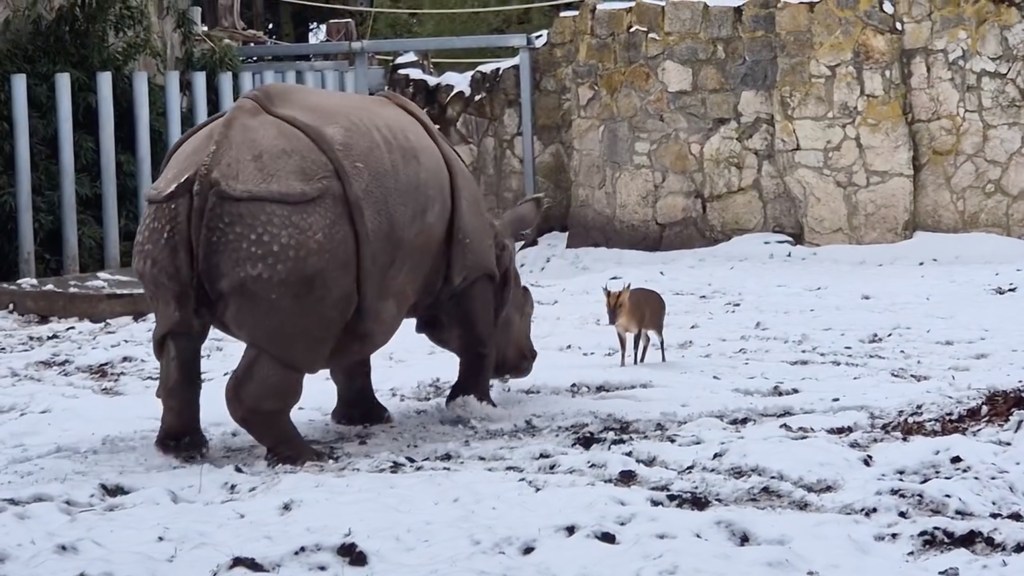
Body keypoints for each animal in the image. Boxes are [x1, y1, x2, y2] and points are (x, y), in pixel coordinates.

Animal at [132, 83, 544, 466]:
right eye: (526, 308)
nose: (529, 360)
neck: (497, 248)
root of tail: (212, 159)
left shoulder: (365, 284)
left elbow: (352, 356)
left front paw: (366, 420)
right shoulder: (468, 272)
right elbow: (477, 340)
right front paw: (475, 408)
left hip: (172, 205)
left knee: (179, 332)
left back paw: (182, 450)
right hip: (289, 215)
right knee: (288, 343)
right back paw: (307, 457)